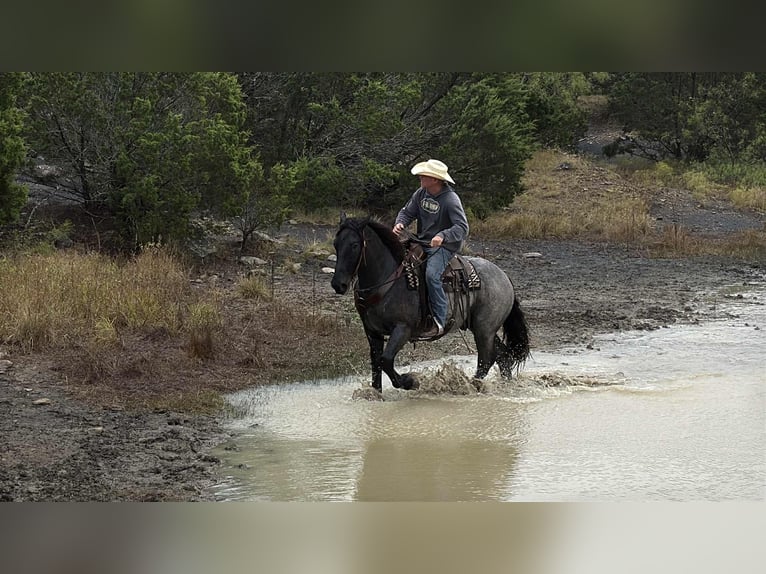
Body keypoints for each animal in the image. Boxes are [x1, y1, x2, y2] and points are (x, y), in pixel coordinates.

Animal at [331, 214, 530, 392]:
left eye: (355, 245)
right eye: (336, 244)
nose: (338, 284)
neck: (389, 280)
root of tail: (504, 277)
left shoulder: (403, 329)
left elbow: (385, 361)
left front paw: (410, 381)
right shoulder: (372, 332)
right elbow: (376, 364)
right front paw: (376, 394)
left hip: (484, 329)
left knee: (486, 360)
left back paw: (470, 385)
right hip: (483, 328)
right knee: (503, 355)